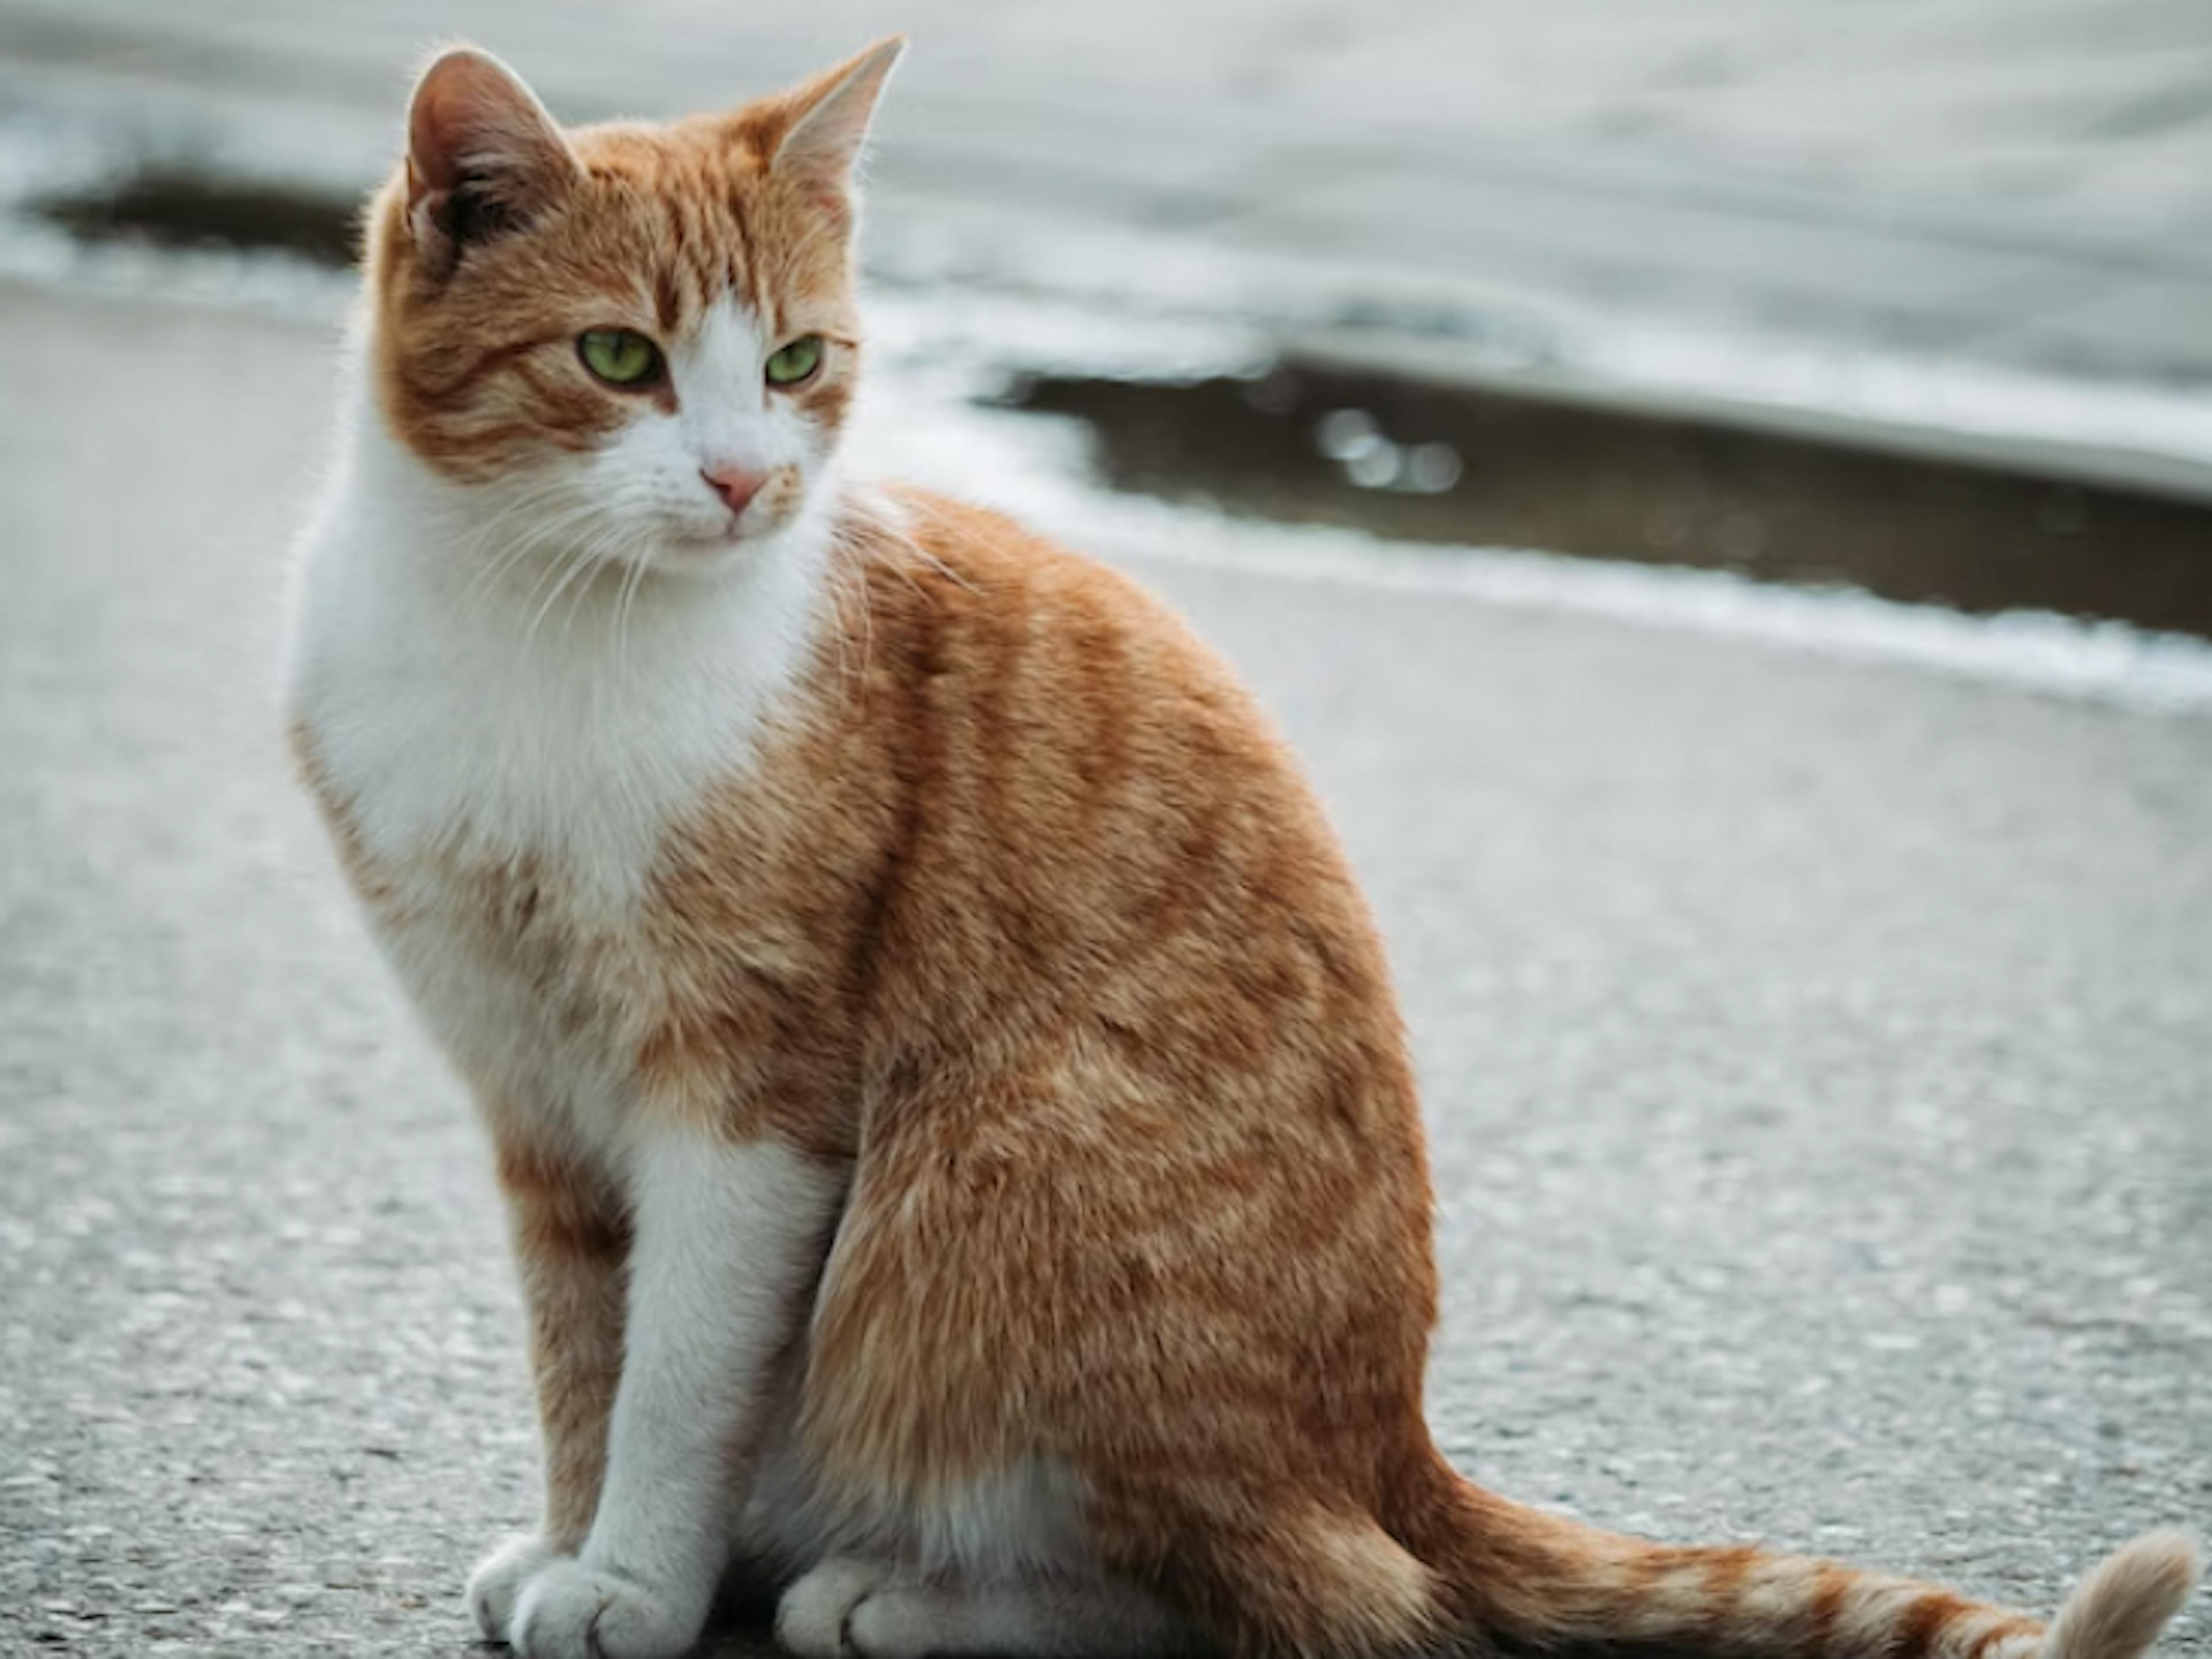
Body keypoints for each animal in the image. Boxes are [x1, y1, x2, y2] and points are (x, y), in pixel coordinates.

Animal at [285, 32, 2203, 1659]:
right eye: (618, 359)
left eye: (792, 363)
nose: (750, 485)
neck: (542, 624)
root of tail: (1385, 1445)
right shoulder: (532, 1091)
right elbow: (581, 1351)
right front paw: (576, 1541)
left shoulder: (748, 1099)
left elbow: (679, 1374)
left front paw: (636, 1580)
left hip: (991, 1173)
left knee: (1304, 1598)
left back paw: (909, 1597)